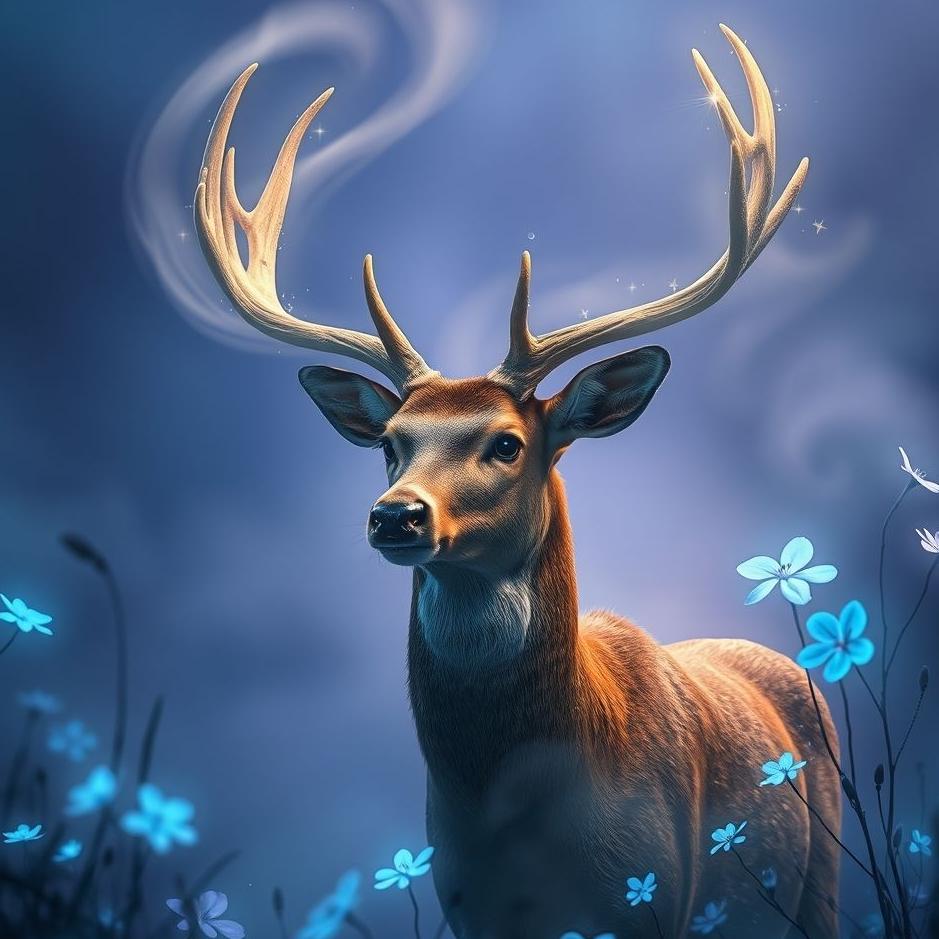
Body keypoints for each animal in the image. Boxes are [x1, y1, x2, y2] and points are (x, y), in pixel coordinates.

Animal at [194, 25, 840, 938]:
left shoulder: (654, 894)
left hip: (819, 878)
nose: (395, 517)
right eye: (389, 444)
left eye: (505, 442)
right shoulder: (466, 899)